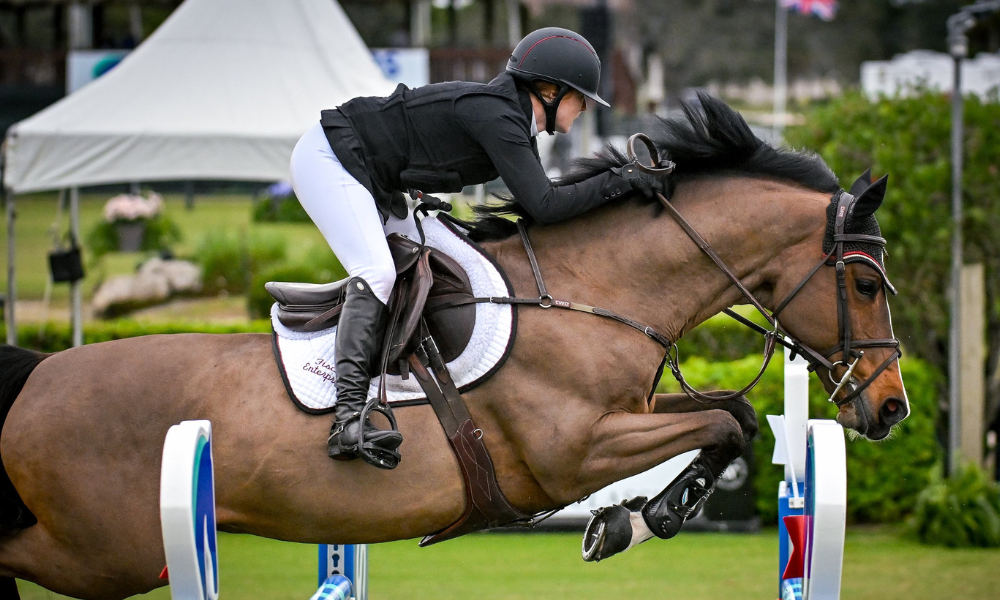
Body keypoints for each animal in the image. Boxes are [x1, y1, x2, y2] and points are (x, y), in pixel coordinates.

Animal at [0, 96, 908, 596]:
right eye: (866, 285)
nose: (894, 408)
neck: (591, 293)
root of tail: (39, 374)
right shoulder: (572, 451)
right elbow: (724, 424)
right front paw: (636, 520)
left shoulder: (633, 413)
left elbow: (735, 420)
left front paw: (636, 520)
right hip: (100, 552)